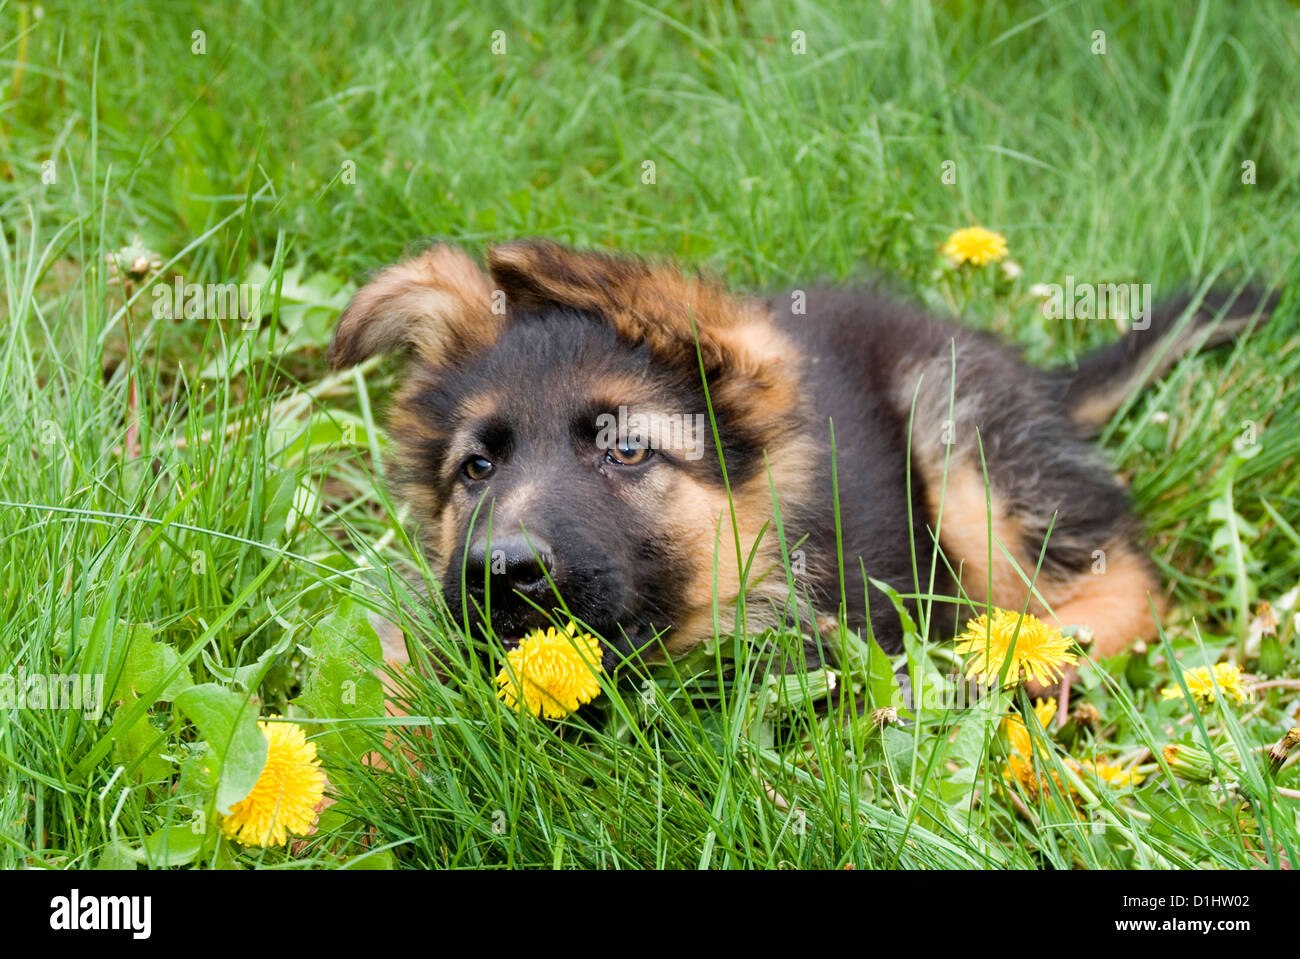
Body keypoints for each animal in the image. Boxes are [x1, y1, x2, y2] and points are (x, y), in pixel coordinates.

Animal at [330, 239, 1274, 675]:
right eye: (476, 470)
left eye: (627, 450)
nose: (499, 570)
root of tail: (1034, 374)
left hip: (958, 440)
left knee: (1119, 581)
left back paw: (1018, 662)